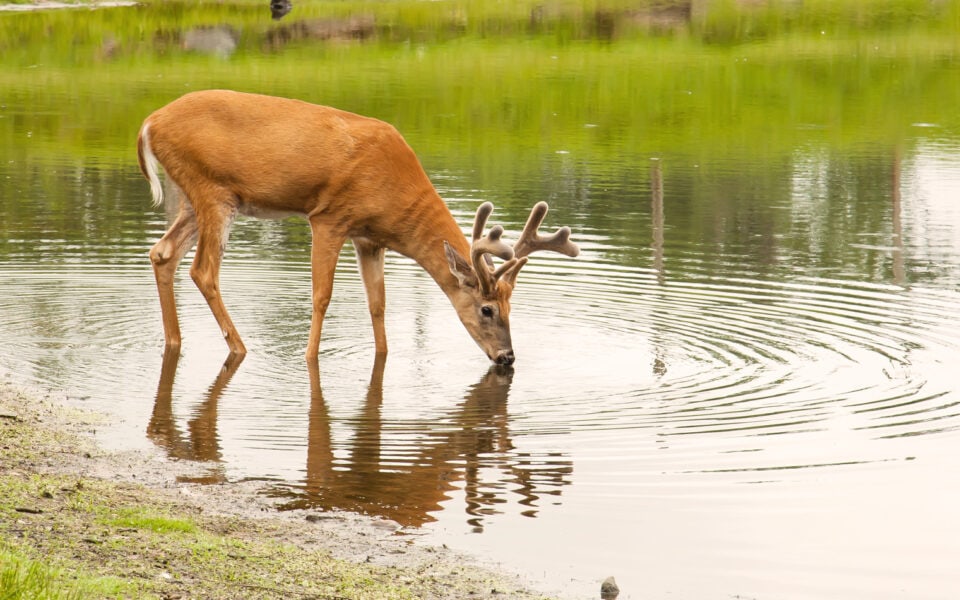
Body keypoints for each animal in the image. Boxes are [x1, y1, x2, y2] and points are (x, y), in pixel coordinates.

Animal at [137, 86, 576, 364]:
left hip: (194, 197)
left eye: (510, 307)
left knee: (162, 252)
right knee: (202, 270)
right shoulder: (329, 217)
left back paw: (174, 342)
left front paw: (382, 354)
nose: (507, 357)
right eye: (487, 309)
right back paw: (239, 348)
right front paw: (309, 356)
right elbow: (321, 295)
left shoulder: (369, 238)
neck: (395, 189)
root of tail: (149, 123)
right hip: (212, 191)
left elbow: (378, 303)